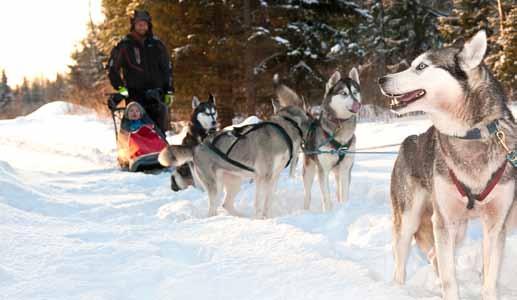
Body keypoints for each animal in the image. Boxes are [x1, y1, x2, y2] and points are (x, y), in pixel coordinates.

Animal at [157, 82, 310, 218]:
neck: (284, 128)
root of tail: (197, 147)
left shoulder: (273, 177)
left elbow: (268, 202)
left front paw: (268, 218)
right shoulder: (263, 177)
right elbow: (259, 204)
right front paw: (259, 220)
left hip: (234, 182)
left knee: (226, 204)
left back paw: (242, 217)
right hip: (216, 187)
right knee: (213, 210)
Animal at [302, 68, 358, 211]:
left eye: (355, 92)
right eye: (344, 93)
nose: (357, 103)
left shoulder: (346, 169)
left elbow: (344, 194)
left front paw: (344, 208)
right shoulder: (323, 170)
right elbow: (326, 197)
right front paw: (328, 211)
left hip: (337, 171)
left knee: (338, 189)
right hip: (309, 170)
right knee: (307, 193)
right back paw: (306, 209)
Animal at [376, 31, 512, 300]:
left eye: (421, 66)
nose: (381, 79)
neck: (469, 135)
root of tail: (408, 141)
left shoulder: (495, 225)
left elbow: (489, 281)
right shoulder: (444, 223)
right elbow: (451, 281)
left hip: (454, 229)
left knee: (433, 256)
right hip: (411, 220)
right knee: (401, 263)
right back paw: (398, 289)